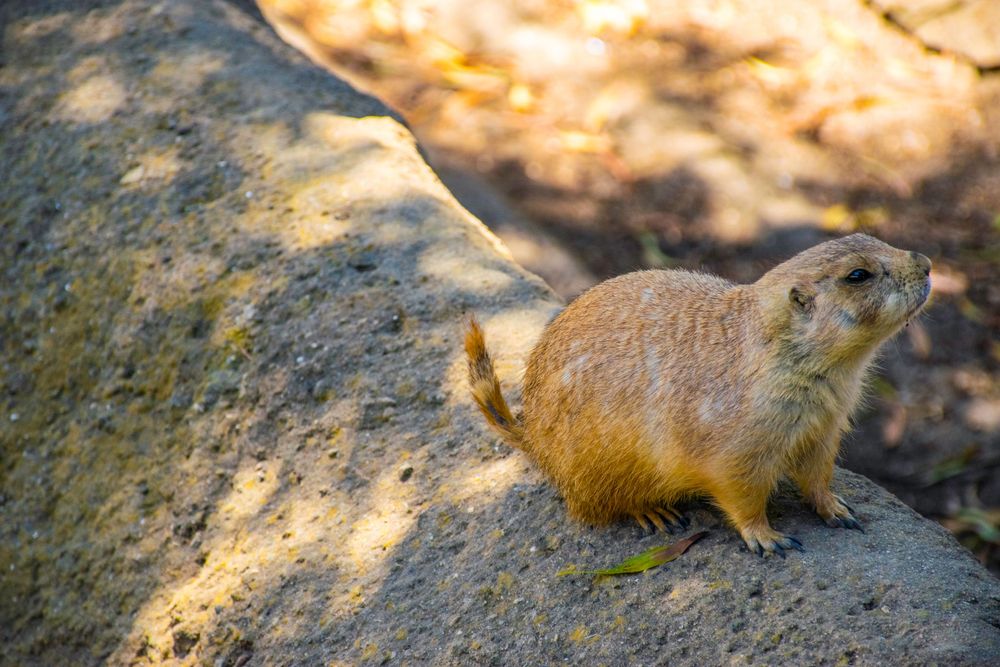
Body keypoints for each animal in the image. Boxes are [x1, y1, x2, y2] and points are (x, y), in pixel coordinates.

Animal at [465, 234, 932, 556]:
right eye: (858, 275)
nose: (926, 263)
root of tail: (533, 442)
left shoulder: (824, 427)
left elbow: (818, 475)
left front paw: (837, 509)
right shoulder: (737, 444)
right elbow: (740, 491)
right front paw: (768, 538)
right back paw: (651, 511)